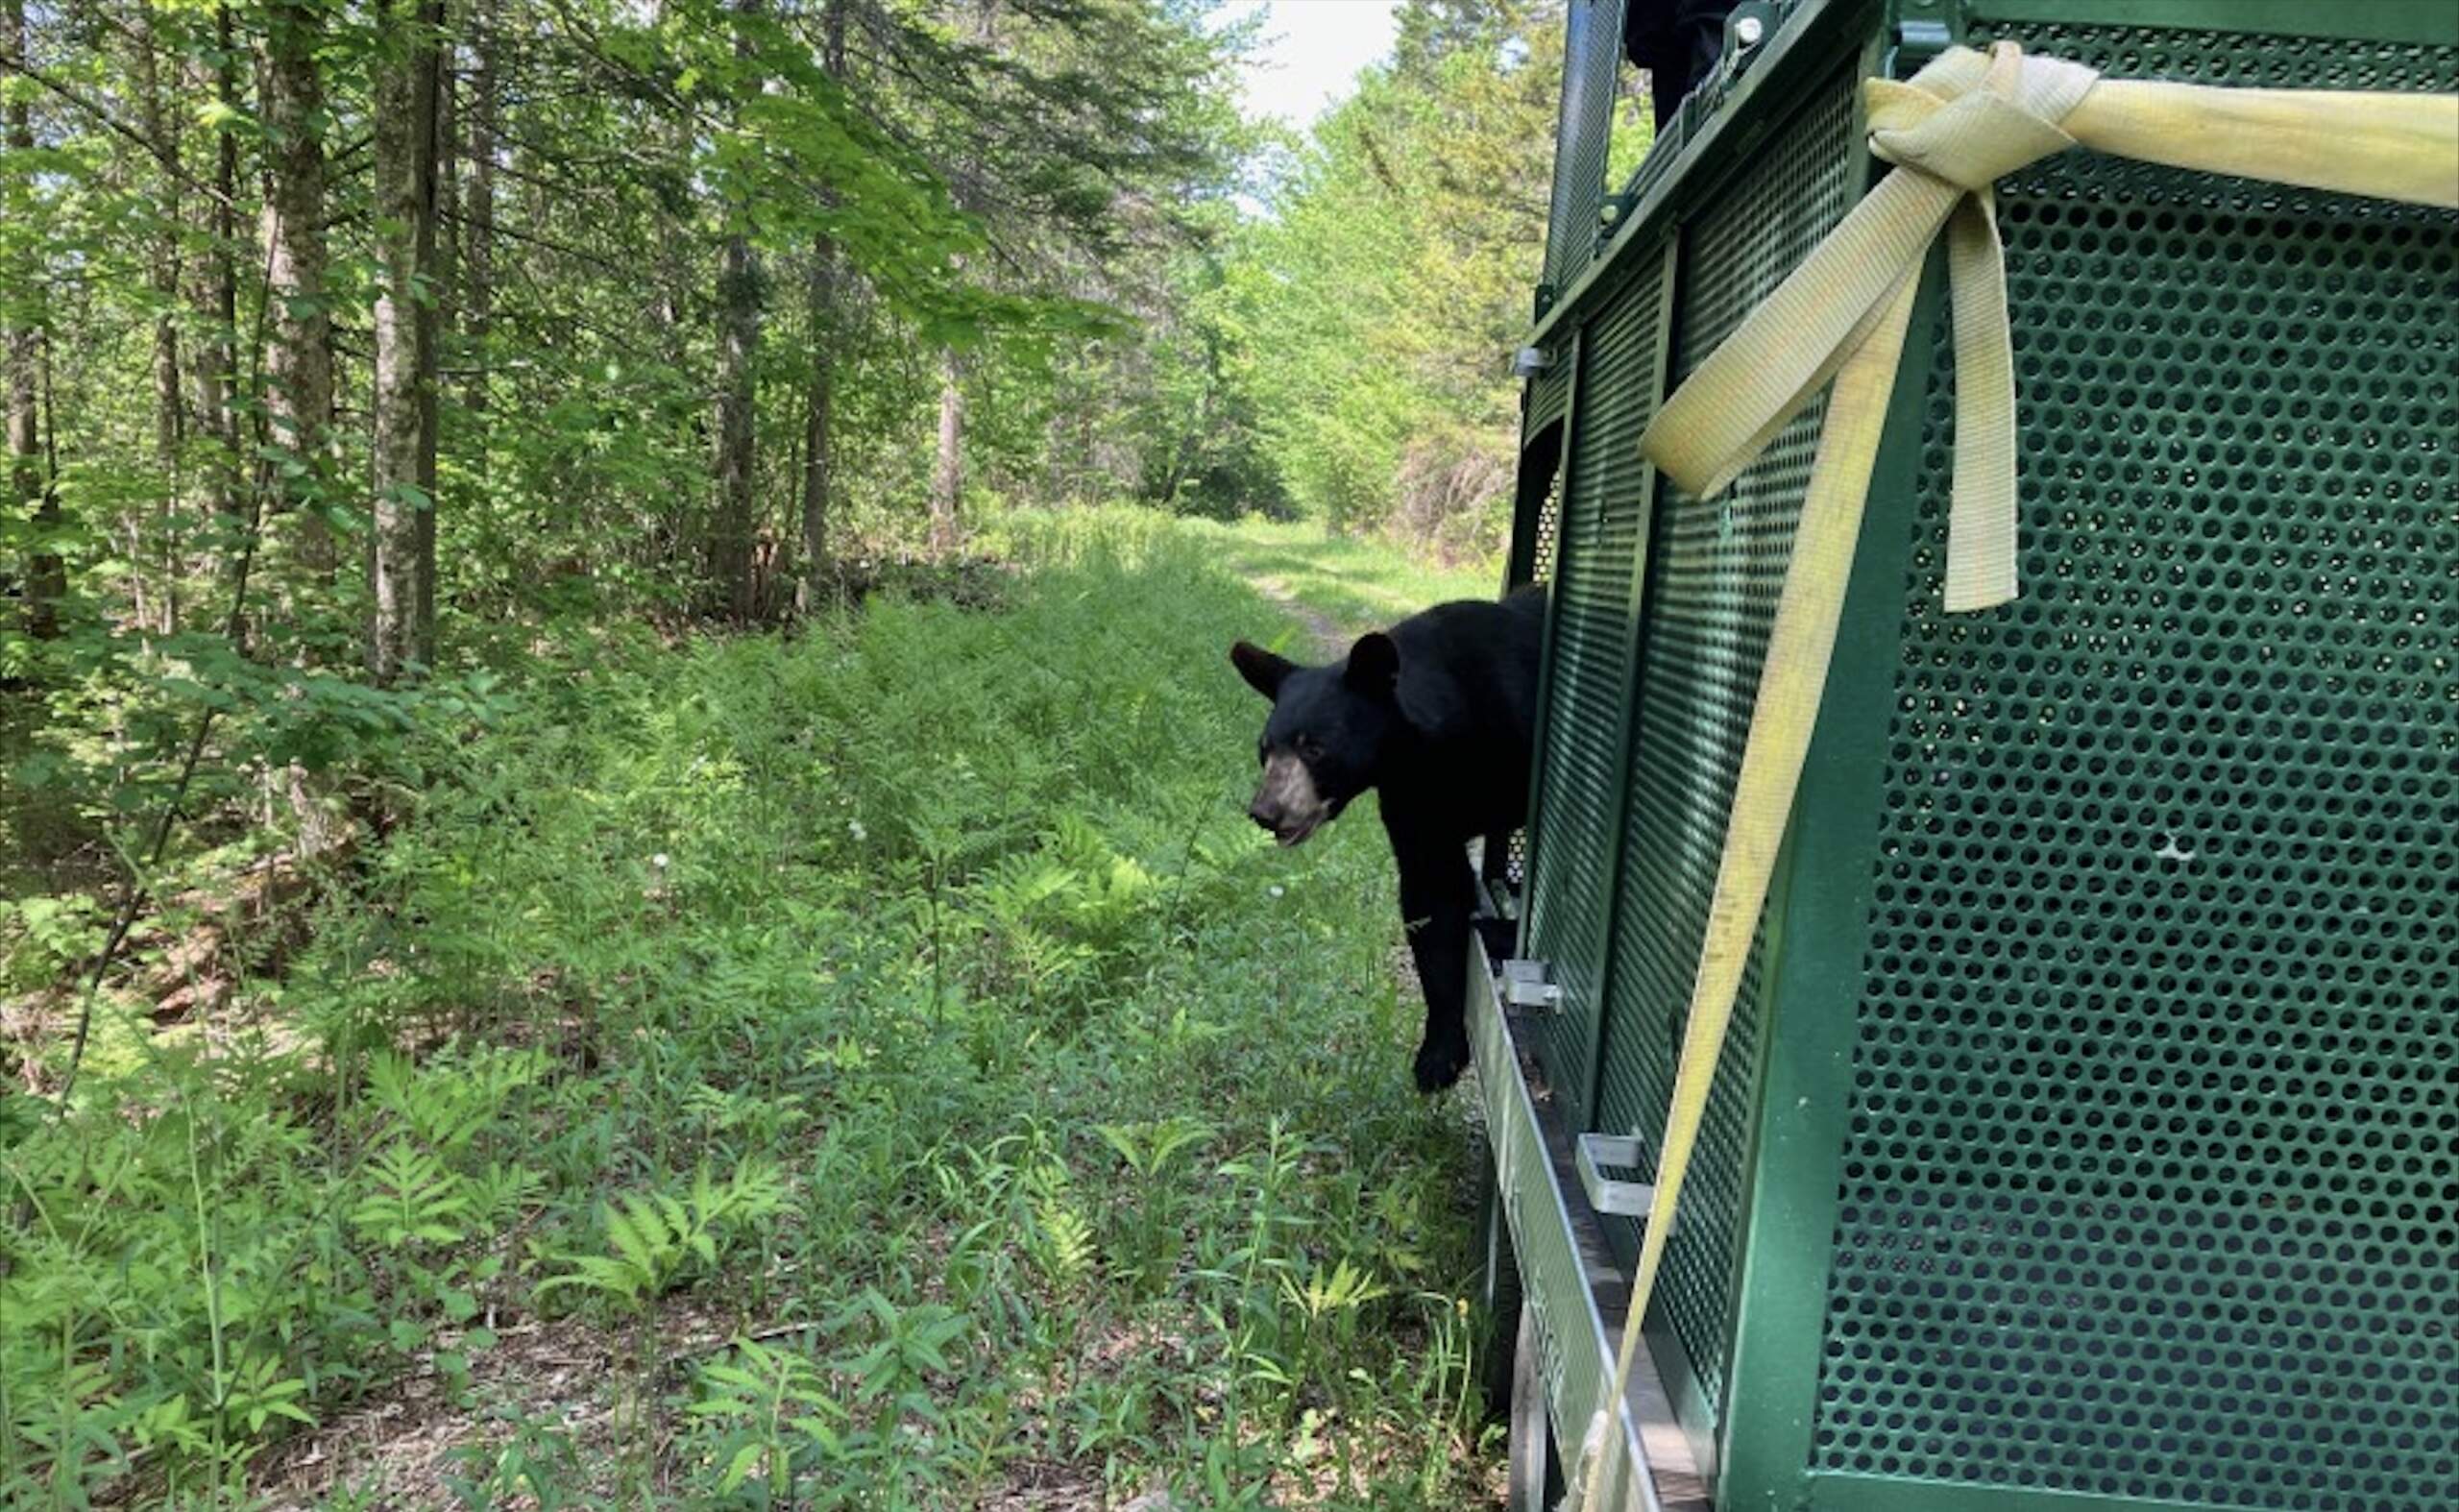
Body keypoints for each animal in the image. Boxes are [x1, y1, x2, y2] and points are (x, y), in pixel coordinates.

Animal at [1230, 585, 1547, 1091]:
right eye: (1265, 748)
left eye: (1315, 747)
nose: (1267, 812)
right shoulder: (1415, 800)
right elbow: (1433, 899)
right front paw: (1438, 1055)